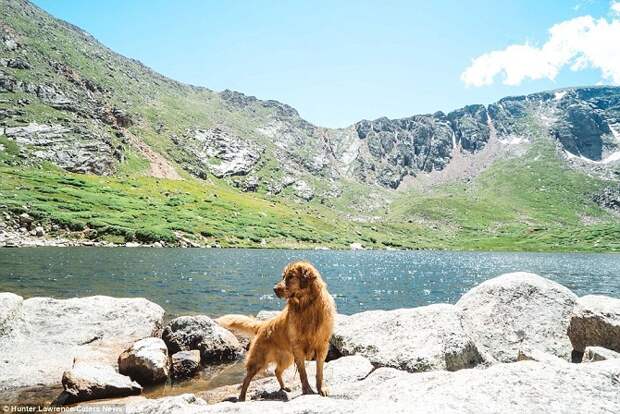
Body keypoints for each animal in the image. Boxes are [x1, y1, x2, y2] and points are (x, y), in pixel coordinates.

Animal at [217, 262, 334, 402]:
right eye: (283, 276)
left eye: (291, 277)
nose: (274, 289)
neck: (306, 306)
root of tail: (263, 324)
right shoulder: (298, 347)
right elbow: (303, 373)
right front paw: (307, 390)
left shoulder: (322, 346)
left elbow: (319, 372)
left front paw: (321, 389)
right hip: (258, 359)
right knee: (247, 378)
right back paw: (242, 398)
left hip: (287, 358)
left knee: (277, 371)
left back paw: (284, 387)